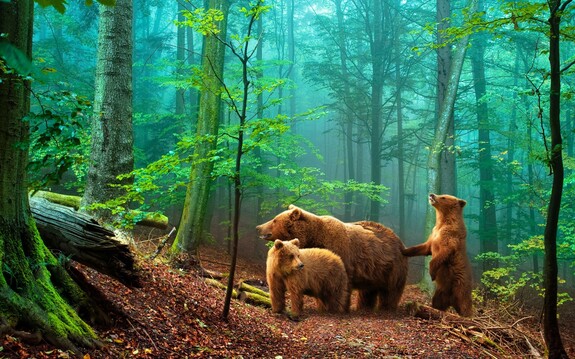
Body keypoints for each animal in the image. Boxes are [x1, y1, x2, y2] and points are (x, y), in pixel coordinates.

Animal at [256, 205, 410, 312]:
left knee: (390, 291)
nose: (258, 227)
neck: (313, 237)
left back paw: (386, 308)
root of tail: (401, 243)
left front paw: (337, 308)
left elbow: (341, 285)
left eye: (274, 220)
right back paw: (364, 308)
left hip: (392, 268)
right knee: (368, 292)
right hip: (373, 272)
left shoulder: (340, 253)